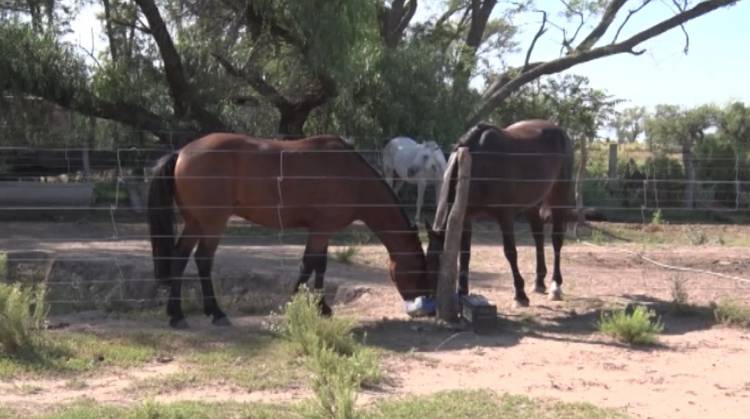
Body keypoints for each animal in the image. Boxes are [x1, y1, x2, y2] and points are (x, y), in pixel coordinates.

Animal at [148, 133, 434, 330]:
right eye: (420, 270)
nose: (420, 300)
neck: (353, 177)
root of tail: (182, 152)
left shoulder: (322, 230)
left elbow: (320, 265)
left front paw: (322, 307)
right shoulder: (321, 230)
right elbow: (309, 264)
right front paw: (296, 304)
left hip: (195, 222)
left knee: (179, 258)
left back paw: (177, 314)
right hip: (212, 223)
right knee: (203, 260)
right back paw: (215, 313)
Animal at [428, 120, 576, 306]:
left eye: (437, 263)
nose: (428, 298)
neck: (477, 164)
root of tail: (560, 130)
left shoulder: (505, 216)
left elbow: (510, 252)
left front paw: (520, 295)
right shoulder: (465, 217)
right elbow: (465, 254)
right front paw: (462, 293)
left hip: (559, 195)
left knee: (556, 240)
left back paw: (555, 286)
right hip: (532, 204)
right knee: (538, 237)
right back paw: (539, 282)